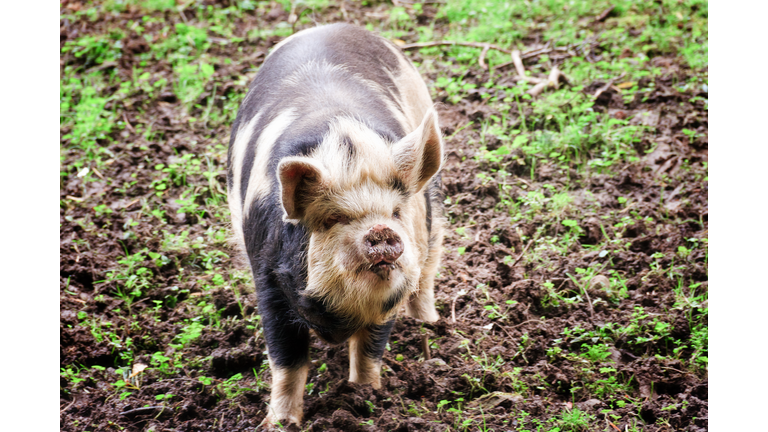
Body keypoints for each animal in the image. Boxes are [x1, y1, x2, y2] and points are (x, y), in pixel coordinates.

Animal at [226, 23, 444, 427]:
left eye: (395, 212)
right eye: (334, 219)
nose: (381, 231)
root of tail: (329, 27)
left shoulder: (390, 295)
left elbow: (370, 349)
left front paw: (366, 396)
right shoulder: (268, 277)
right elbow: (287, 361)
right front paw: (280, 424)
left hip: (433, 209)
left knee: (427, 274)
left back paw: (431, 325)